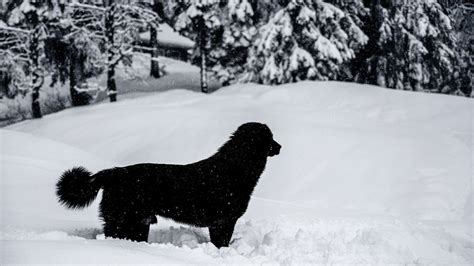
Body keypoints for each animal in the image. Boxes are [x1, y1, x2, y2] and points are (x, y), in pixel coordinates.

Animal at [57, 122, 284, 247]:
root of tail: (112, 172)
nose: (280, 147)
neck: (235, 167)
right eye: (270, 138)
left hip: (139, 223)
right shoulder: (222, 221)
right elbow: (221, 244)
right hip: (122, 220)